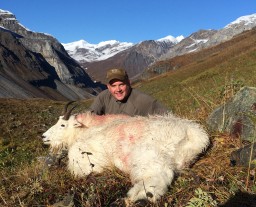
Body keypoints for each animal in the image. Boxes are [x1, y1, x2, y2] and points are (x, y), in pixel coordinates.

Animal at [42, 102, 210, 205]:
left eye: (62, 124)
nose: (44, 136)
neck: (87, 129)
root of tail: (195, 134)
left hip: (148, 155)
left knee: (161, 175)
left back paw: (138, 197)